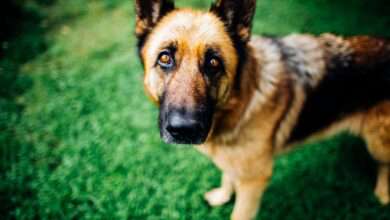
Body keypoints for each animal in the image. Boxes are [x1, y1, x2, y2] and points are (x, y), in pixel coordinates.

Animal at [135, 0, 390, 219]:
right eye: (165, 58)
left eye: (214, 63)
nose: (184, 130)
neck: (240, 104)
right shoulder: (235, 163)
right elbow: (228, 175)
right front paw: (223, 196)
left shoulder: (254, 182)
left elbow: (239, 212)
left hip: (378, 144)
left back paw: (383, 194)